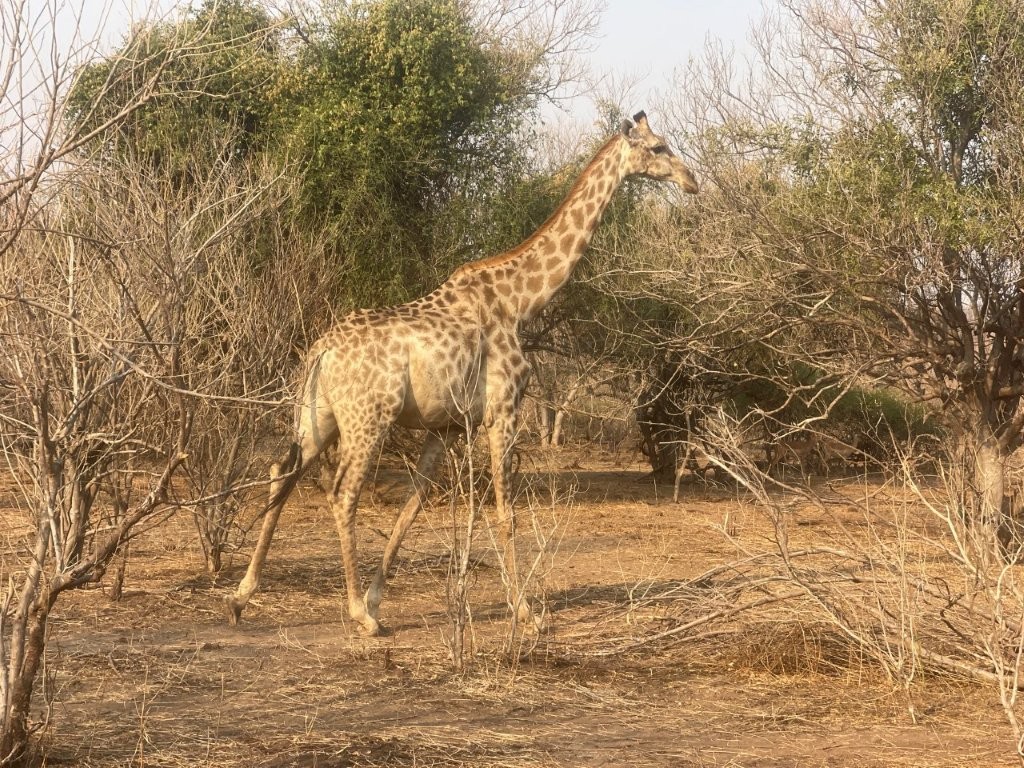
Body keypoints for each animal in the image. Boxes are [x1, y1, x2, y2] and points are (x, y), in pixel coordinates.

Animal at [224, 111, 699, 636]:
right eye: (659, 148)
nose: (691, 181)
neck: (520, 300)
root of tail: (321, 351)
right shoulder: (503, 411)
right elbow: (506, 514)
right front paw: (526, 612)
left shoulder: (448, 426)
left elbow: (411, 507)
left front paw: (377, 599)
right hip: (369, 419)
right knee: (343, 492)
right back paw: (355, 615)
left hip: (318, 416)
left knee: (280, 473)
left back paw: (242, 597)